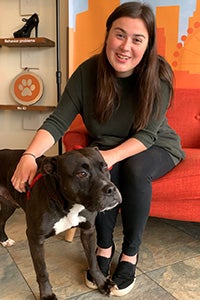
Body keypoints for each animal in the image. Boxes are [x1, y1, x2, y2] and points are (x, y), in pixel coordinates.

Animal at [0, 148, 122, 300]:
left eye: (105, 166)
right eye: (82, 174)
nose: (111, 189)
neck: (68, 205)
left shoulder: (88, 231)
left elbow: (93, 261)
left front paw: (102, 283)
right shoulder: (35, 238)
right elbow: (42, 271)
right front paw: (46, 295)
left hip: (9, 205)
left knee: (1, 221)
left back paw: (4, 240)